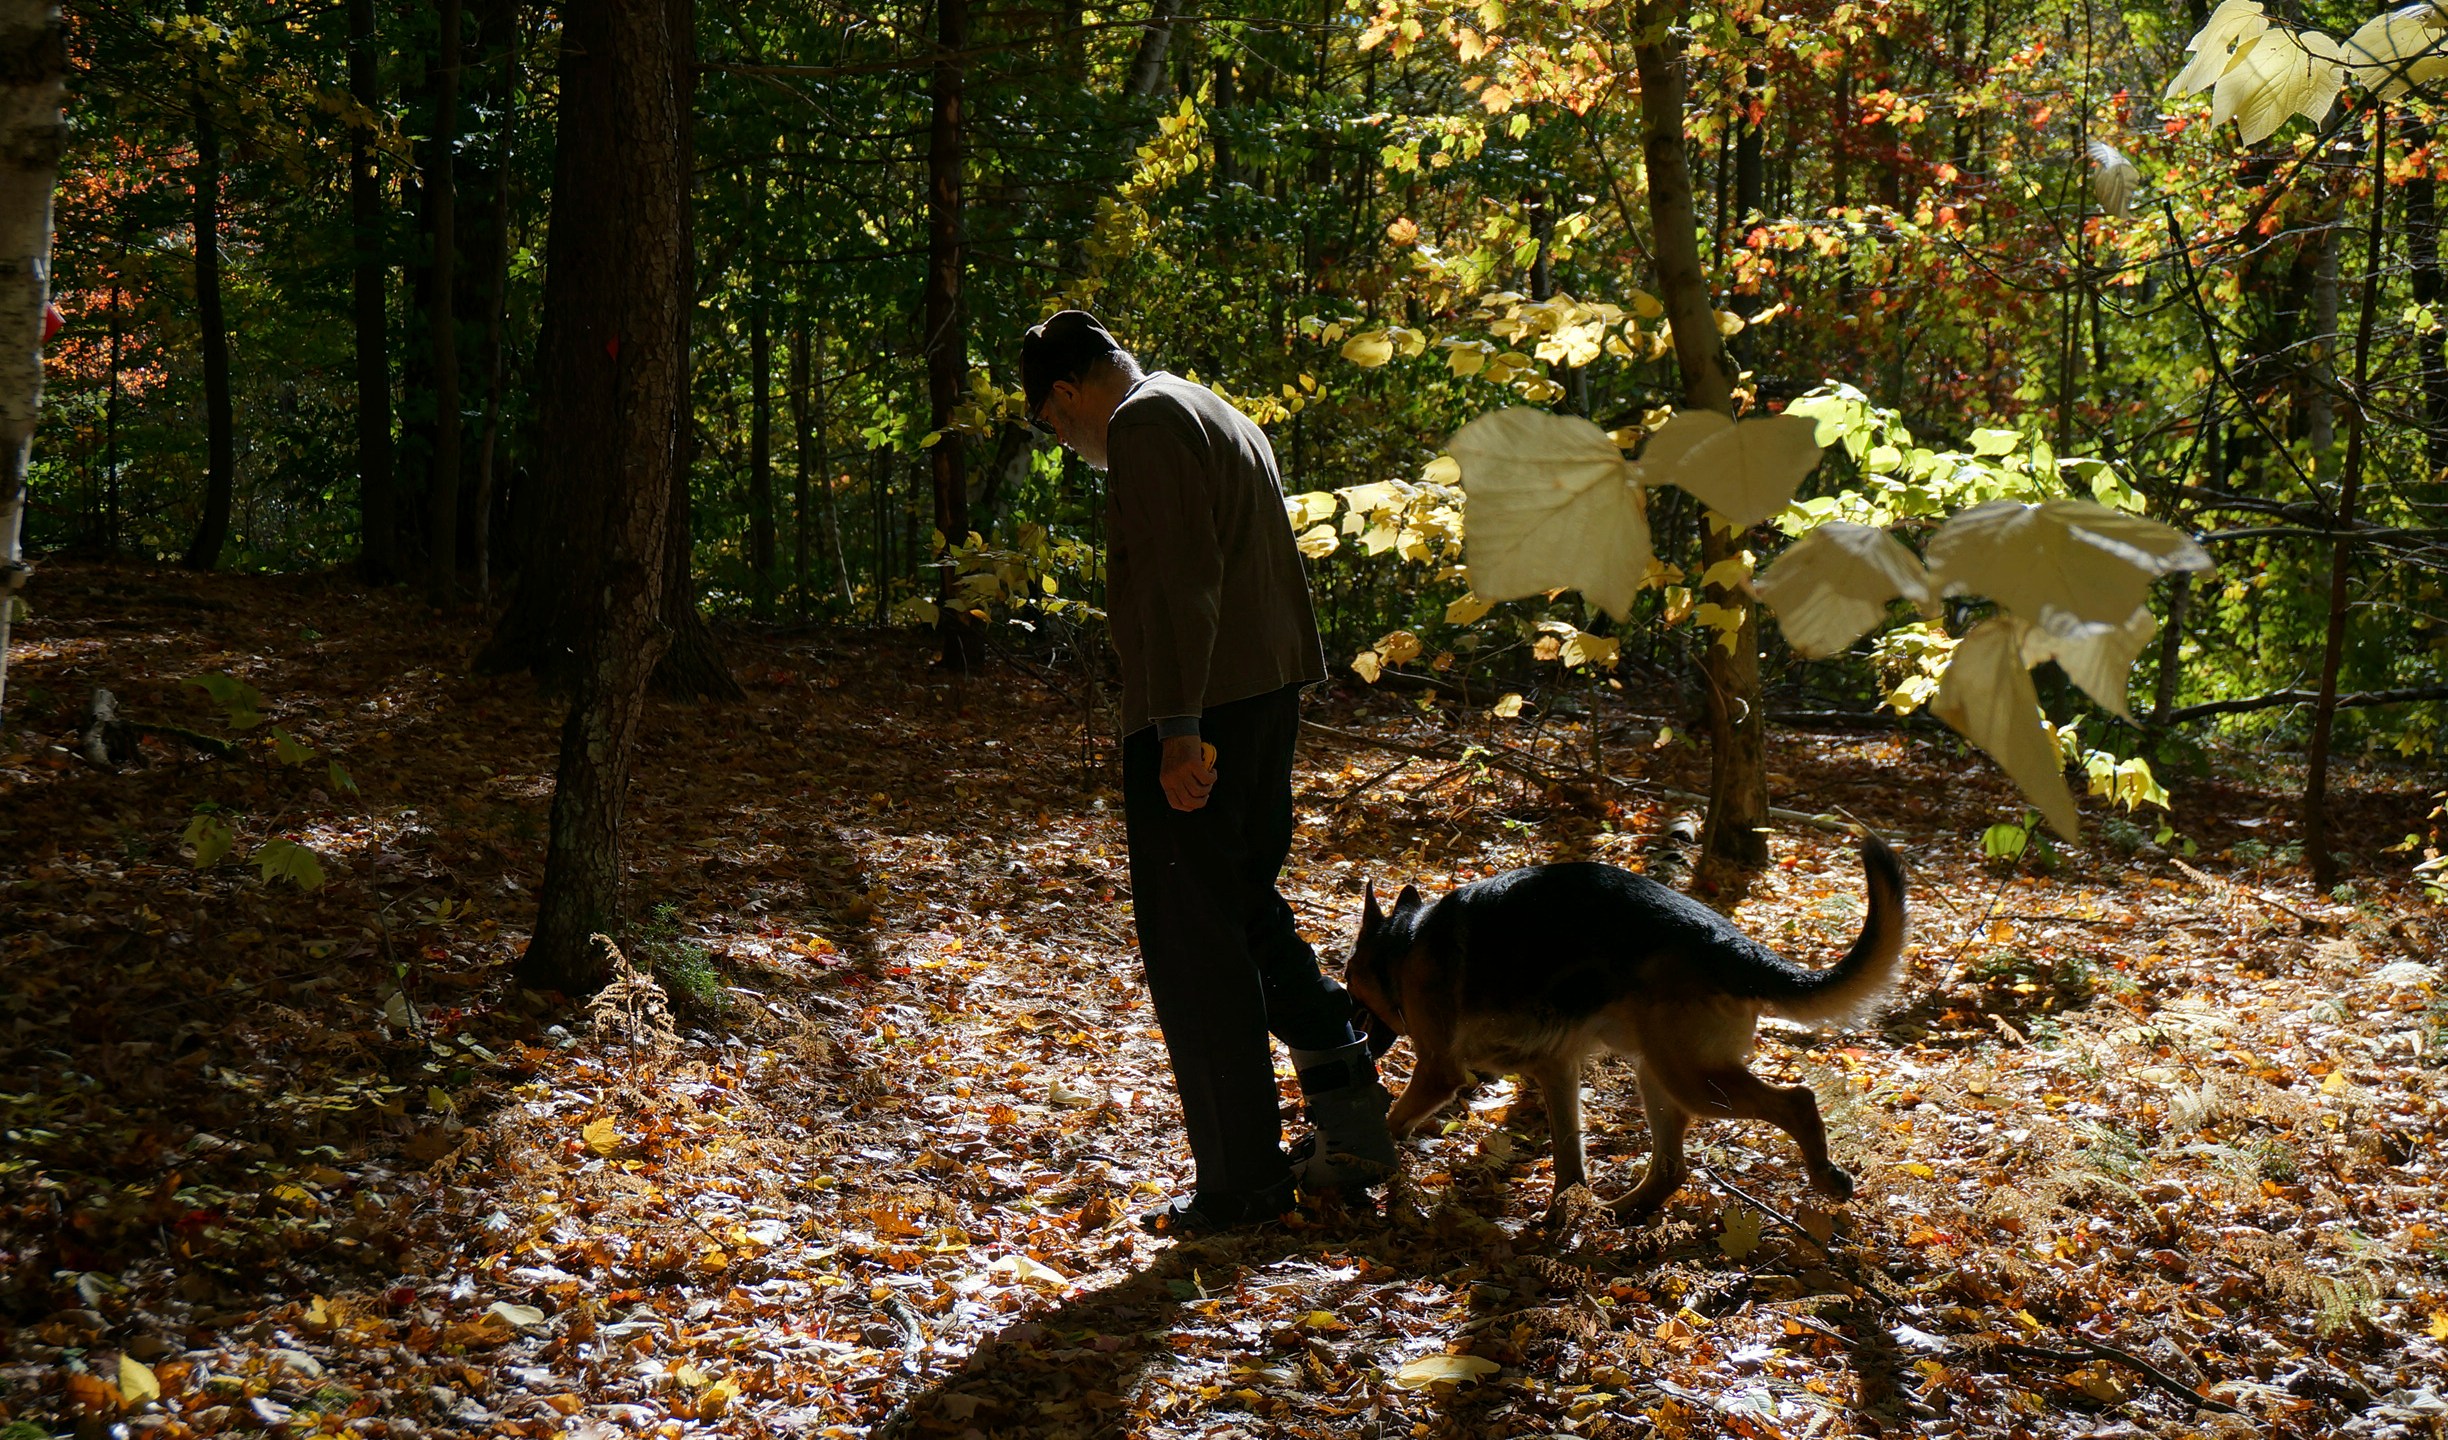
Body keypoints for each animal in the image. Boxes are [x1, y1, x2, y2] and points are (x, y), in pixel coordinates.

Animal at [1341, 837, 1909, 1219]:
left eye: (1347, 979)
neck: (1404, 945)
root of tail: (1734, 946)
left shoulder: (1439, 1070)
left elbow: (1393, 1118)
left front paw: (1359, 1161)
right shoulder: (1557, 1070)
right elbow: (1570, 1162)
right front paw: (1565, 1213)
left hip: (1692, 1081)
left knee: (1798, 1101)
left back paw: (1825, 1176)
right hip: (1656, 1076)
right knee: (1672, 1169)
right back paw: (1618, 1212)